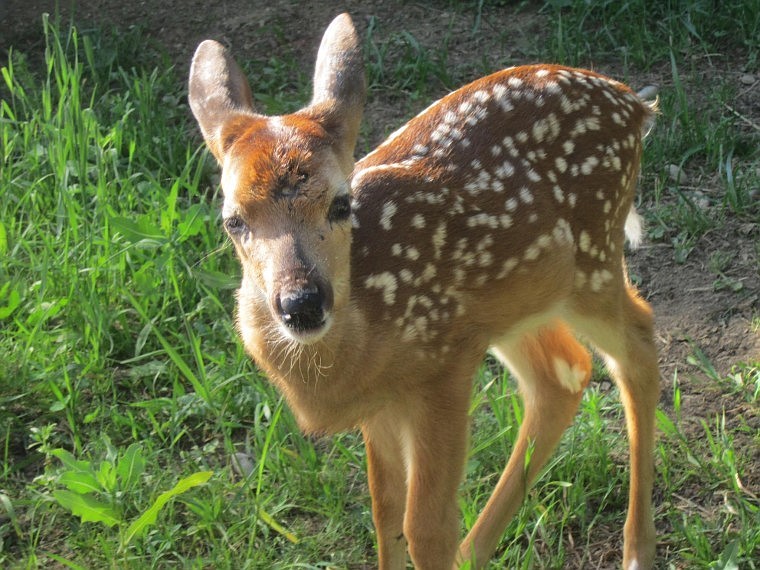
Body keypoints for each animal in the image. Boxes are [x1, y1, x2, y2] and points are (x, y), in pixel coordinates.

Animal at [189, 13, 660, 568]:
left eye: (341, 204)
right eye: (233, 220)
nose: (301, 304)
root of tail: (631, 102)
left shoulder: (442, 367)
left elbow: (425, 527)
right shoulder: (383, 401)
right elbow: (385, 514)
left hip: (593, 258)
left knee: (638, 344)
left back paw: (637, 549)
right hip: (516, 299)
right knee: (564, 373)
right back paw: (474, 553)